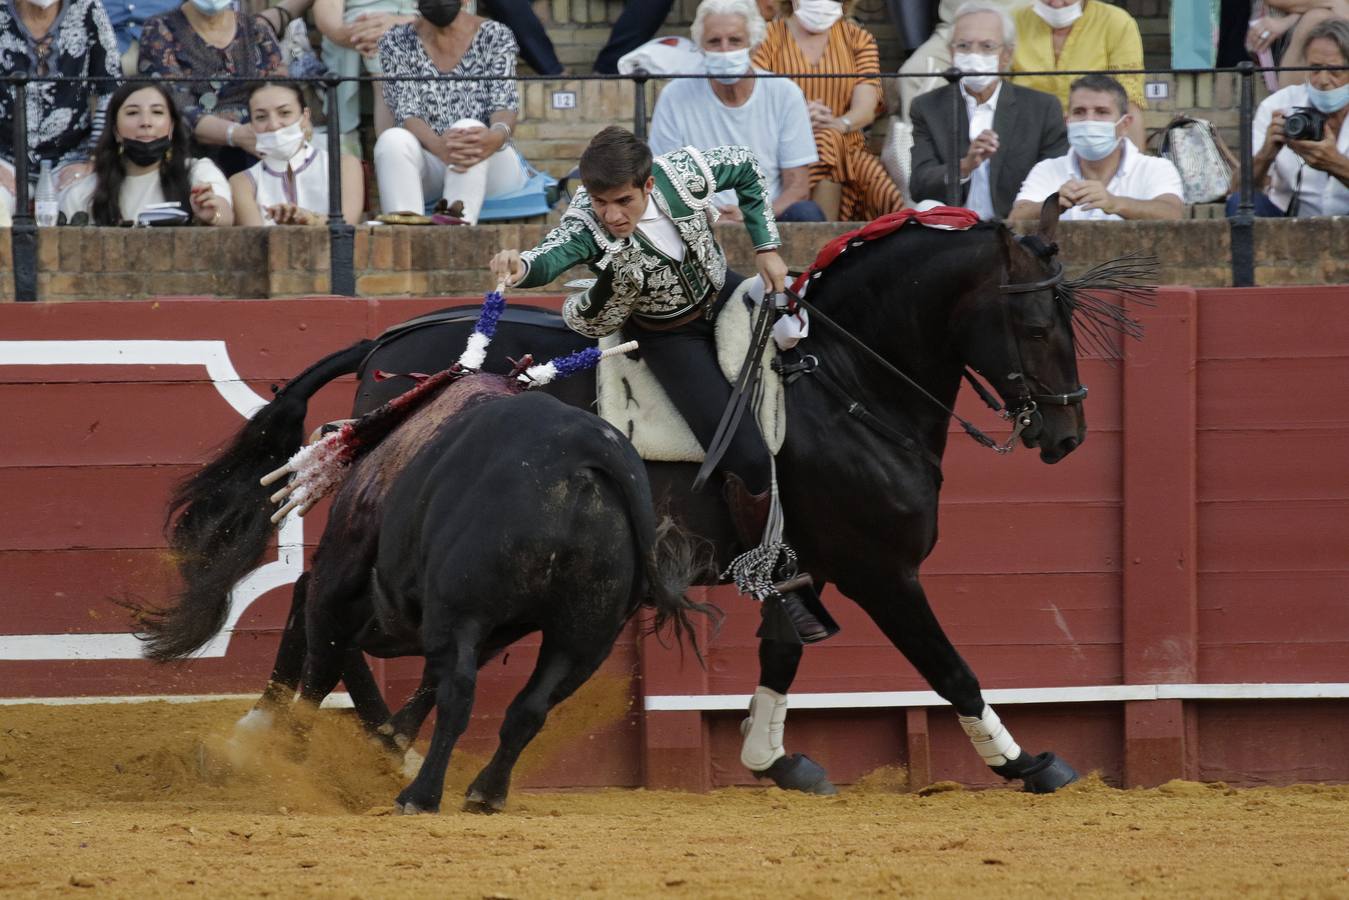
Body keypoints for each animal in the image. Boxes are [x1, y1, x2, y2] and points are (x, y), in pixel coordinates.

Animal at [142, 369, 712, 814]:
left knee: (457, 692)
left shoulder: (340, 581)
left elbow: (319, 659)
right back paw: (483, 792)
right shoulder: (476, 628)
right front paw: (383, 745)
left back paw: (420, 795)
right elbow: (414, 684)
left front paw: (285, 756)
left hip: (464, 611)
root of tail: (583, 455)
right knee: (529, 707)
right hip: (584, 635)